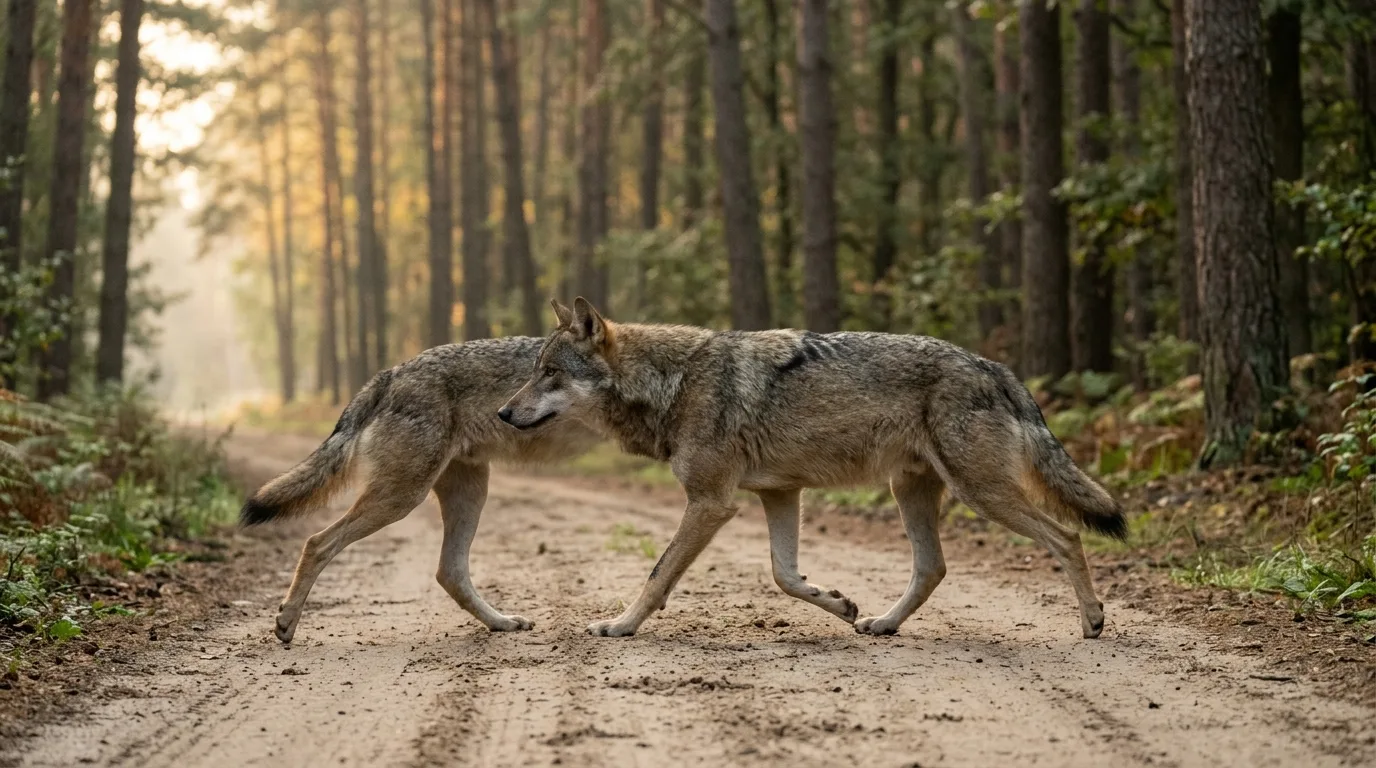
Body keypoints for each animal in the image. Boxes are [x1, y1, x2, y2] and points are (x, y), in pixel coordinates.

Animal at [239, 337, 611, 643]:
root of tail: (391, 373)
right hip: (403, 498)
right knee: (317, 543)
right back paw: (286, 622)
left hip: (468, 495)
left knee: (449, 573)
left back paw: (501, 622)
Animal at [500, 298, 1128, 640]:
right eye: (534, 371)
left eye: (550, 373)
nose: (504, 412)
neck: (673, 383)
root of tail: (995, 366)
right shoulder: (779, 494)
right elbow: (784, 575)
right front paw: (839, 604)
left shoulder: (711, 503)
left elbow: (658, 575)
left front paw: (621, 625)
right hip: (911, 491)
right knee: (933, 568)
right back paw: (882, 623)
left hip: (981, 492)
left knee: (1066, 535)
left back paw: (1093, 621)